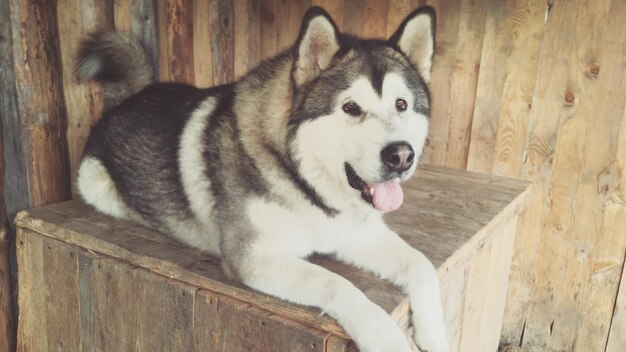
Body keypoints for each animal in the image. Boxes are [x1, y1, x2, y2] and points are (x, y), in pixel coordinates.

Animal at [75, 6, 448, 352]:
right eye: (351, 107)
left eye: (402, 104)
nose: (401, 155)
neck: (303, 181)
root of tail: (129, 98)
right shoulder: (252, 257)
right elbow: (337, 284)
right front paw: (385, 337)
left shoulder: (353, 232)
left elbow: (422, 264)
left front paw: (434, 334)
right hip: (94, 184)